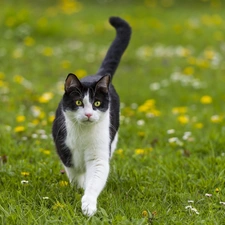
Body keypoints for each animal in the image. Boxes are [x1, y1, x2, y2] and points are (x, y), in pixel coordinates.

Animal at [52, 16, 131, 217]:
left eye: (96, 104)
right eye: (79, 102)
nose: (88, 114)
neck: (83, 135)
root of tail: (97, 75)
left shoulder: (99, 155)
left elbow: (94, 180)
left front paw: (88, 205)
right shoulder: (64, 148)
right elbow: (73, 172)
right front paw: (78, 188)